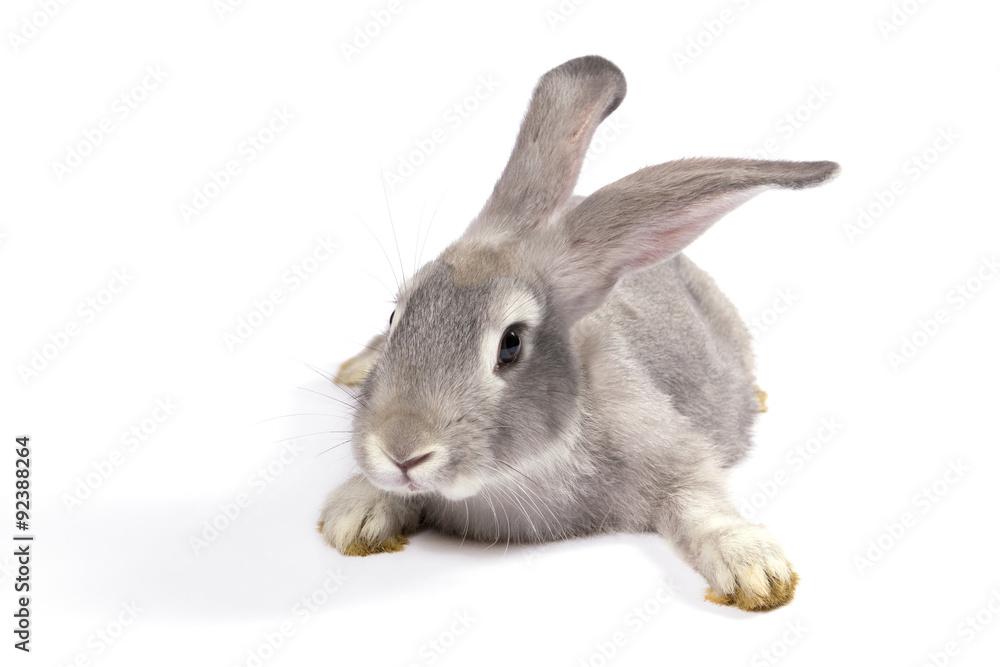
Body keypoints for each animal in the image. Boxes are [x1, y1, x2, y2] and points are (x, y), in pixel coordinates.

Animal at [318, 55, 839, 612]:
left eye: (511, 343)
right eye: (397, 316)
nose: (402, 450)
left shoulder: (672, 450)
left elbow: (702, 504)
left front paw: (755, 570)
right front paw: (357, 513)